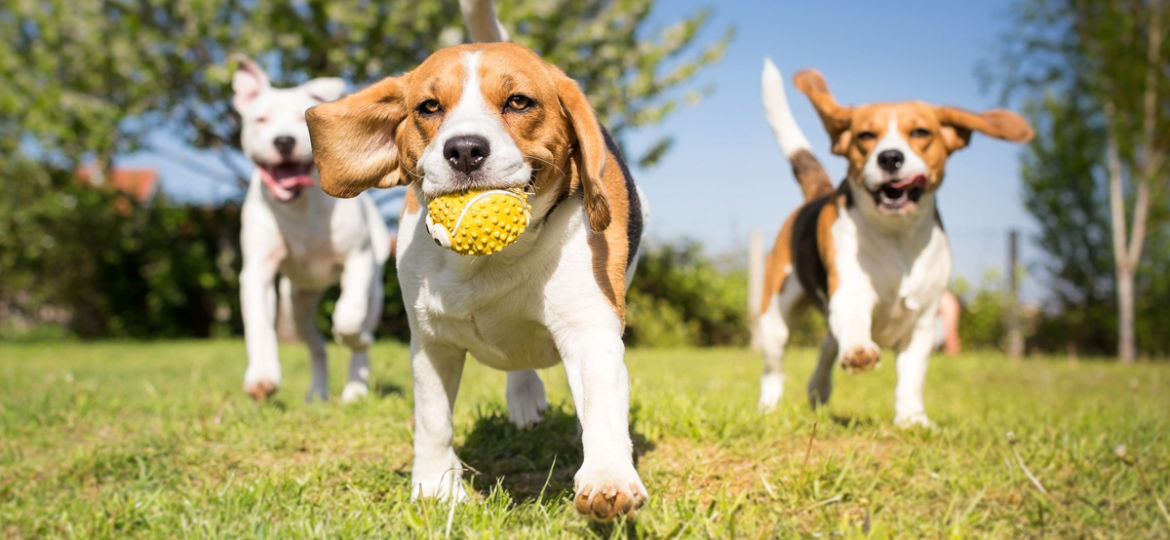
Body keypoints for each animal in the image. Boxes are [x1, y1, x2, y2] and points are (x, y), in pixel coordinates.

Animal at [232, 58, 393, 399]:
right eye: (260, 119)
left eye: (301, 118)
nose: (284, 141)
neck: (299, 205)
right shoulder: (257, 271)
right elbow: (258, 325)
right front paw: (262, 377)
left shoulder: (357, 260)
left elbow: (348, 318)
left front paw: (353, 336)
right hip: (297, 304)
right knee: (316, 346)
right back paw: (317, 393)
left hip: (374, 289)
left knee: (360, 333)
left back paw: (355, 389)